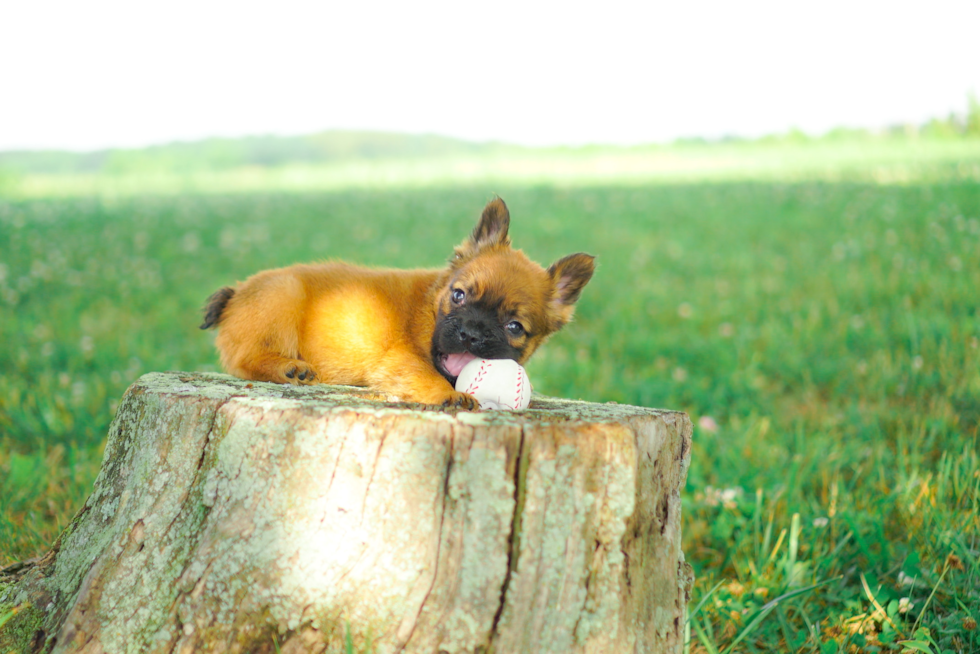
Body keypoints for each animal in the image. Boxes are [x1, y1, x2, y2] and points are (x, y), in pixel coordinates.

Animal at [201, 197, 588, 410]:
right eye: (459, 295)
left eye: (514, 327)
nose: (471, 334)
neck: (430, 306)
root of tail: (235, 292)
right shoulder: (403, 360)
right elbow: (424, 375)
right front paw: (448, 396)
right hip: (283, 294)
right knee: (244, 359)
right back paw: (287, 368)